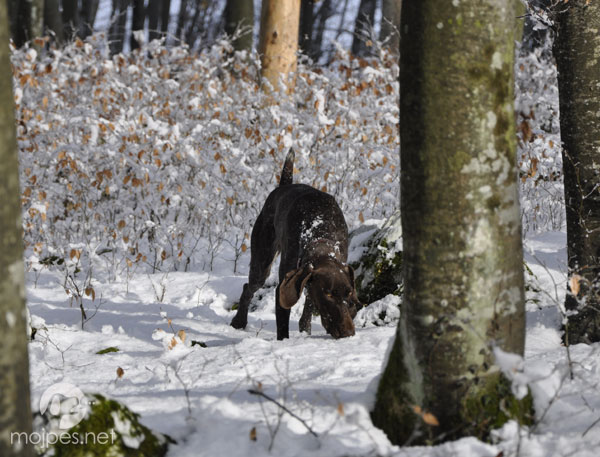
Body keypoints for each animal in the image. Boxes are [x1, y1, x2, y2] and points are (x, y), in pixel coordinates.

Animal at [230, 150, 360, 338]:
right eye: (328, 294)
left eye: (349, 293)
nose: (348, 333)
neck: (321, 234)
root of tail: (282, 187)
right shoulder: (283, 288)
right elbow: (283, 325)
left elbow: (307, 310)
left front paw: (305, 332)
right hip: (262, 263)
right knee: (249, 287)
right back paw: (239, 321)